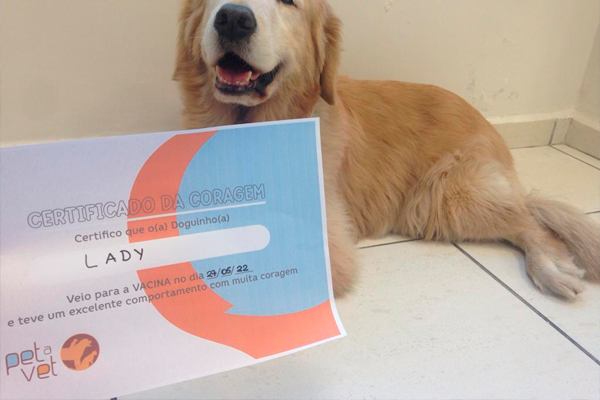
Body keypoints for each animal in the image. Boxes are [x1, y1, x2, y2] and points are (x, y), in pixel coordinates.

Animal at [174, 0, 600, 300]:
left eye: (289, 1)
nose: (233, 18)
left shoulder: (328, 243)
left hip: (444, 198)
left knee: (530, 222)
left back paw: (551, 266)